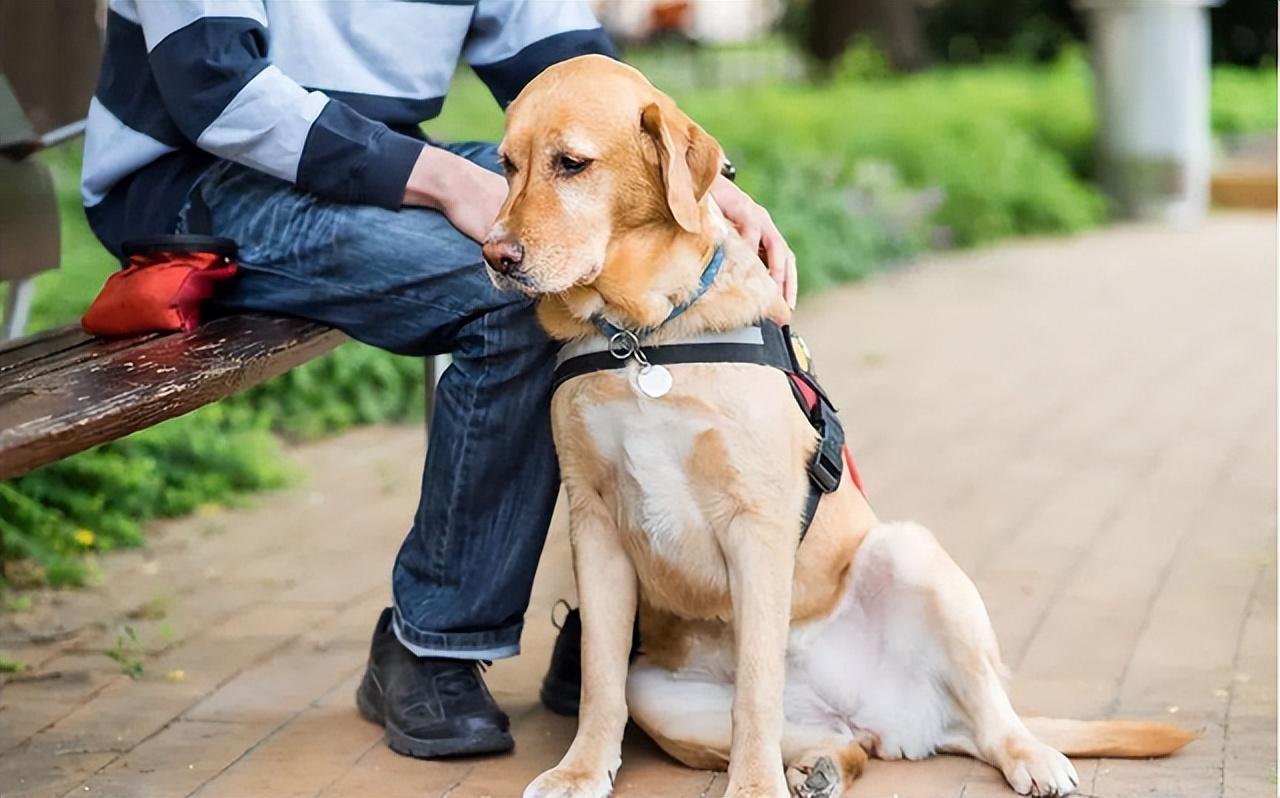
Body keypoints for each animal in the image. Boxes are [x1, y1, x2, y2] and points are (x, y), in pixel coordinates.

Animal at [478, 56, 1187, 798]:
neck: (642, 338)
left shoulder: (758, 524)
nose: (494, 254)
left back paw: (1030, 755)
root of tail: (900, 719)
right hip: (665, 696)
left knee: (991, 711)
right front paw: (583, 769)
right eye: (507, 164)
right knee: (850, 745)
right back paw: (816, 765)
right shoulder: (595, 524)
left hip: (914, 556)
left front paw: (753, 788)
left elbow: (756, 687)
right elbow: (599, 679)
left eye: (571, 163)